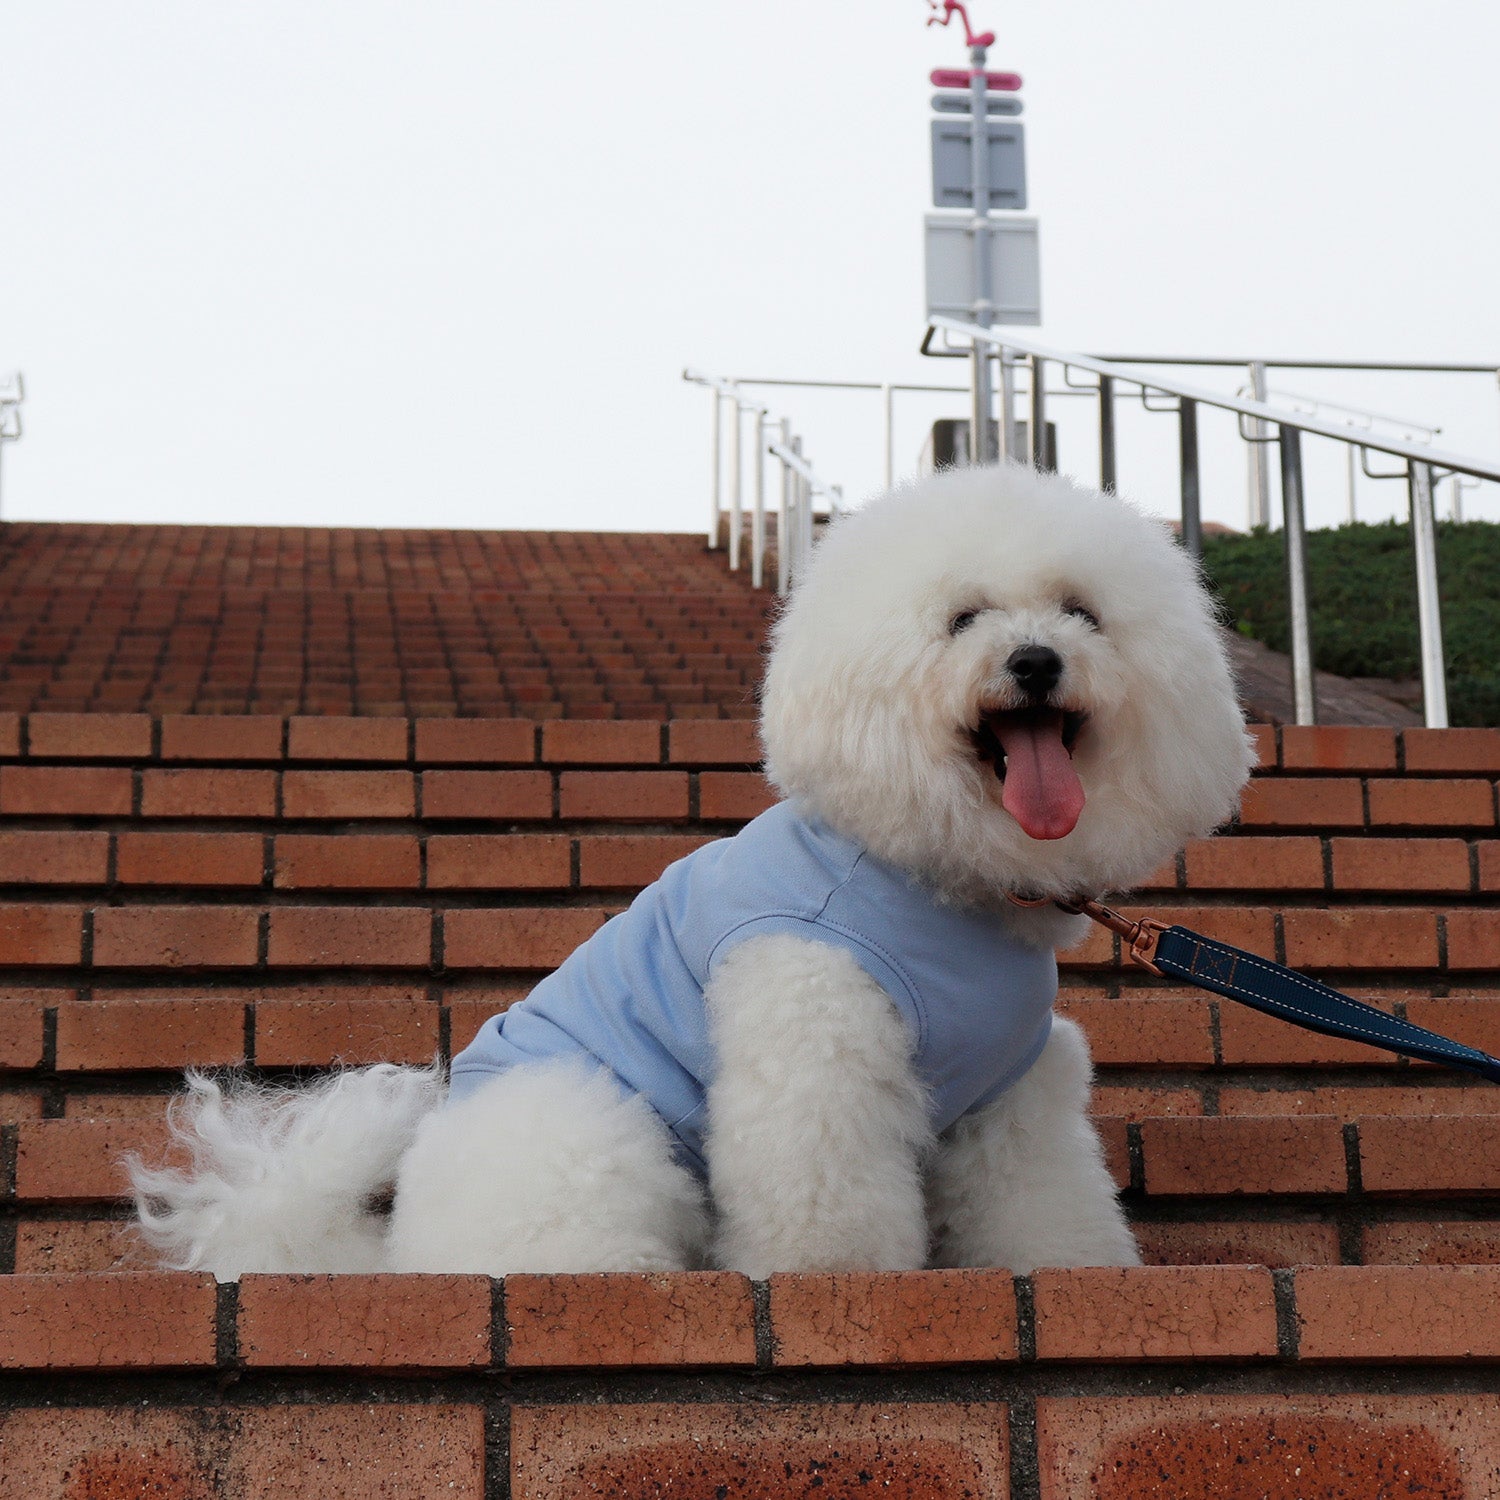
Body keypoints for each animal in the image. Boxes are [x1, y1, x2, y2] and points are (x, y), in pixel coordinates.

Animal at [129, 465, 1254, 1278]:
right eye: (963, 619)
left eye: (1082, 614)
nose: (1035, 661)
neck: (944, 881)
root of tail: (391, 1252)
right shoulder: (814, 1039)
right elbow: (822, 1193)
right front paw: (832, 1280)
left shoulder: (1013, 1089)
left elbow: (1042, 1199)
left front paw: (1077, 1269)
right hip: (592, 1122)